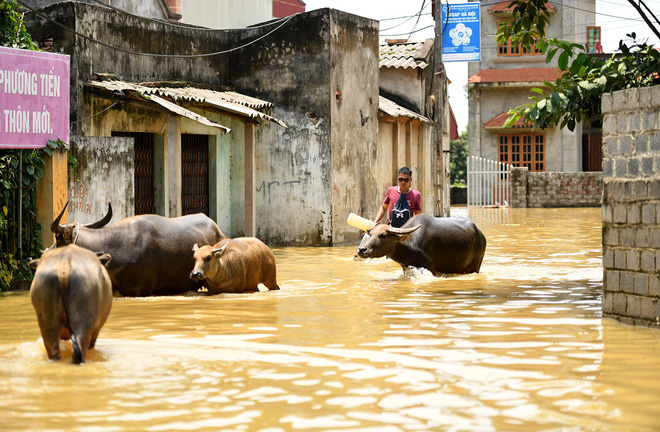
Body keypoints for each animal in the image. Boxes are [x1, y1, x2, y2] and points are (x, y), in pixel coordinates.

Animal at [358, 214, 488, 276]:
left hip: (476, 264)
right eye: (371, 234)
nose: (362, 250)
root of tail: (481, 234)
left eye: (383, 235)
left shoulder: (429, 268)